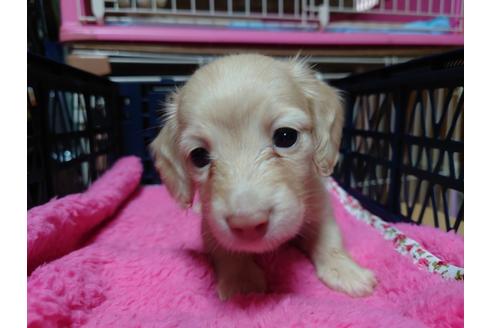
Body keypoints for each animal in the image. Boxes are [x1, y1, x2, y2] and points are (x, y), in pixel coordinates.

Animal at [150, 54, 376, 300]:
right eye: (198, 156)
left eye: (286, 136)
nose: (248, 224)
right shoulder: (211, 226)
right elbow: (226, 249)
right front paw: (242, 283)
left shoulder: (319, 205)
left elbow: (329, 238)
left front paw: (345, 271)